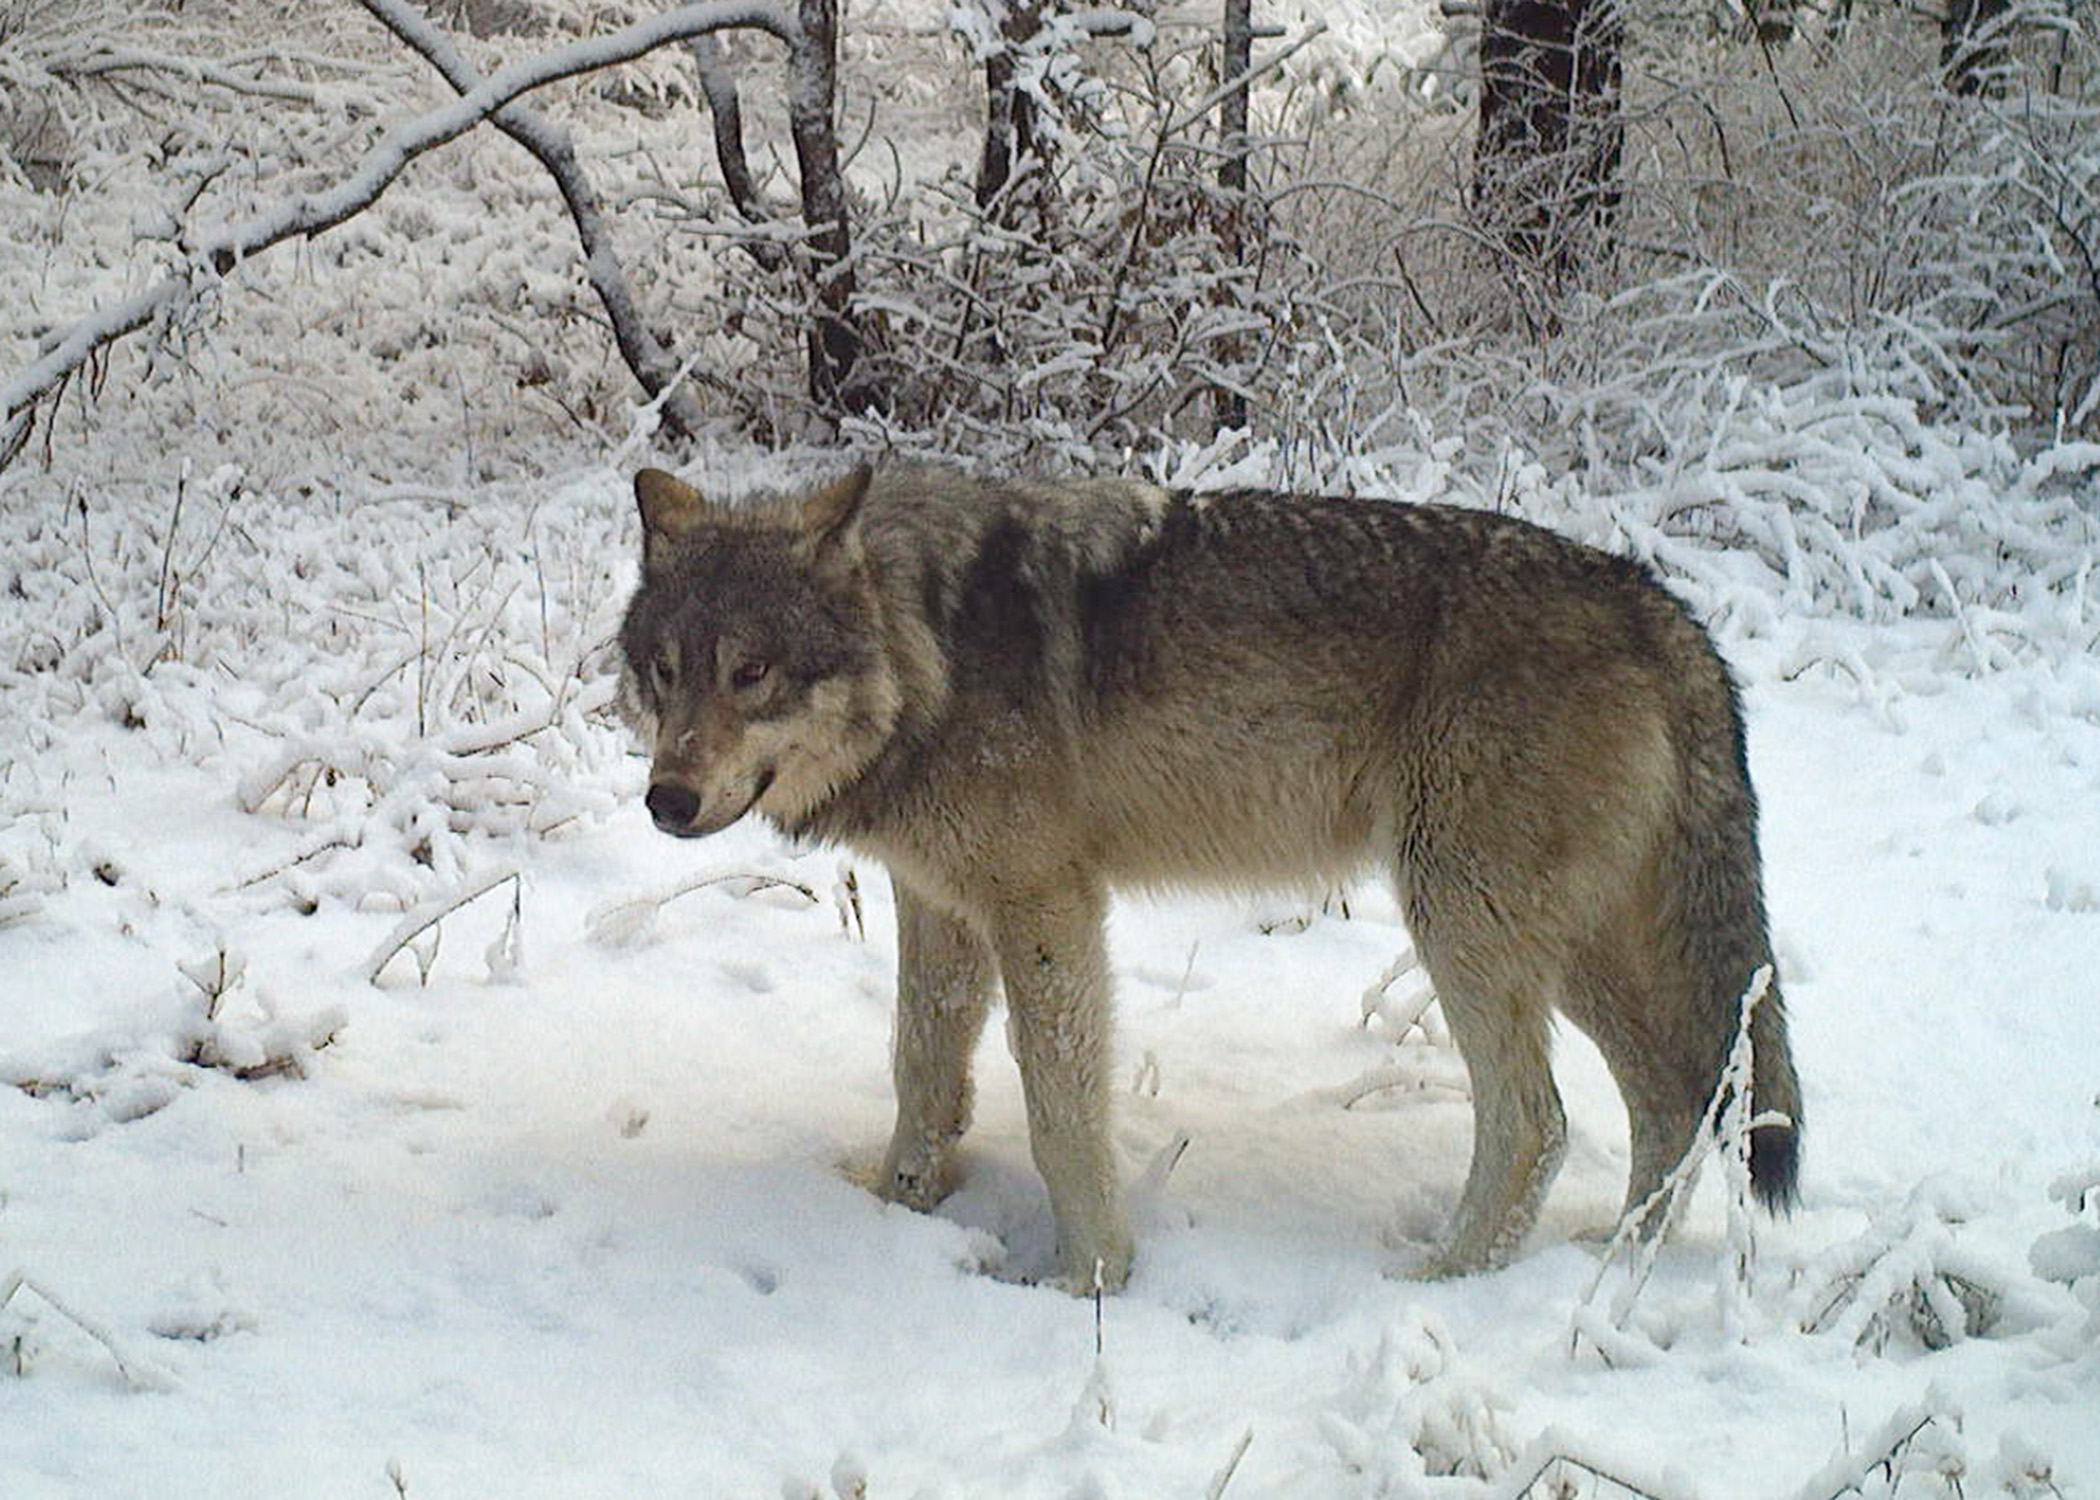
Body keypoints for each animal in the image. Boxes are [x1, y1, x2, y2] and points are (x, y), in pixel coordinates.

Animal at [617, 462, 1802, 1291]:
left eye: (753, 671)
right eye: (665, 672)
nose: (665, 799)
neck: (934, 653)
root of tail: (1663, 609)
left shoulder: (1047, 906)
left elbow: (1059, 1114)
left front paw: (1088, 1277)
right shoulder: (939, 905)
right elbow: (921, 1073)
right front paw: (900, 1208)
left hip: (1464, 926)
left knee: (1540, 1126)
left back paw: (1443, 1280)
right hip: (1568, 954)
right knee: (1678, 1105)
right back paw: (1614, 1262)